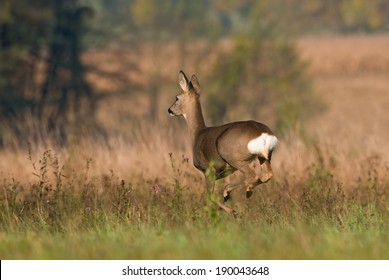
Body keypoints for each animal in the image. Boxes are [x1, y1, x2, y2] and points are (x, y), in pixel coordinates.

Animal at [168, 71, 278, 215]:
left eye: (177, 97)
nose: (169, 110)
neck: (198, 134)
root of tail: (263, 133)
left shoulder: (208, 169)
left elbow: (209, 196)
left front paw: (230, 211)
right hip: (264, 157)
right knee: (267, 175)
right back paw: (246, 192)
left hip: (233, 156)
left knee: (253, 176)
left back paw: (229, 194)